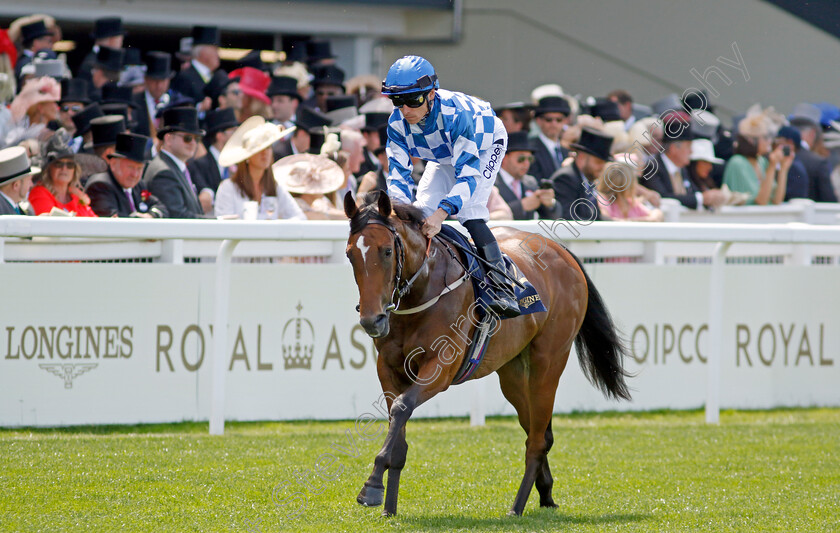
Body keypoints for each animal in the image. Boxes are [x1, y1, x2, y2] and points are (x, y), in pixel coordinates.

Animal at [342, 192, 632, 516]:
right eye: (350, 254)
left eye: (387, 251)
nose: (372, 320)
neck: (424, 290)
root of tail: (563, 252)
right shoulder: (388, 368)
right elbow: (397, 423)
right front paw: (389, 506)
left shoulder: (440, 369)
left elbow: (403, 407)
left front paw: (371, 486)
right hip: (513, 374)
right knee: (538, 431)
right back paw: (545, 493)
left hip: (548, 363)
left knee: (536, 441)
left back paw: (517, 507)